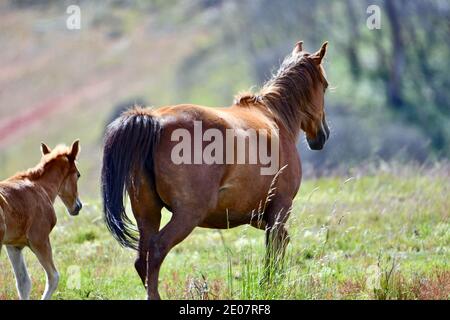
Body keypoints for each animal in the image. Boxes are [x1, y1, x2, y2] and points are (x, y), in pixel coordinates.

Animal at [0, 141, 82, 300]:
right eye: (78, 175)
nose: (78, 206)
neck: (40, 188)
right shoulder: (39, 239)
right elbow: (53, 277)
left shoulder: (14, 246)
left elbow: (24, 283)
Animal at [103, 41, 330, 298]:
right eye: (325, 85)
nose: (322, 136)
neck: (275, 118)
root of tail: (155, 122)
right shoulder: (280, 208)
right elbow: (275, 246)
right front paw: (270, 284)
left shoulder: (258, 215)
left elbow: (281, 241)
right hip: (187, 215)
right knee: (157, 251)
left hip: (148, 213)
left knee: (142, 259)